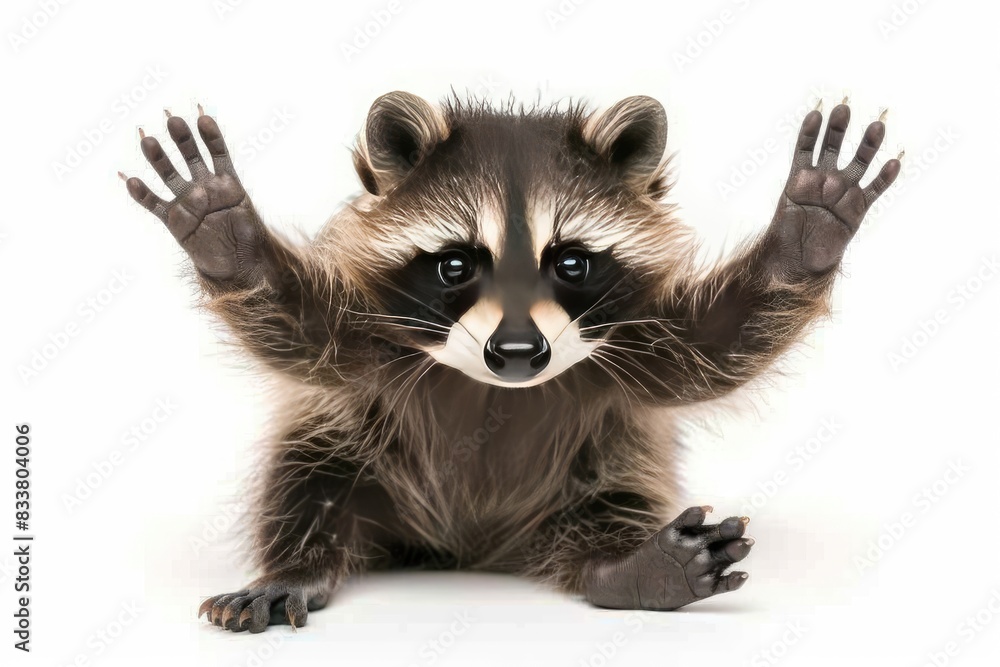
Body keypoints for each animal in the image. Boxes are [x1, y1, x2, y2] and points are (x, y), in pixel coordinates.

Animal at [122, 92, 899, 632]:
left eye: (572, 263)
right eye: (457, 264)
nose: (519, 353)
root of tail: (470, 549)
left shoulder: (624, 351)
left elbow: (710, 350)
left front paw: (802, 237)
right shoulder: (378, 341)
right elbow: (305, 334)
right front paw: (227, 233)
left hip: (595, 469)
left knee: (608, 505)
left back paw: (629, 567)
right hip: (360, 458)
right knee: (308, 478)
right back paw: (297, 566)